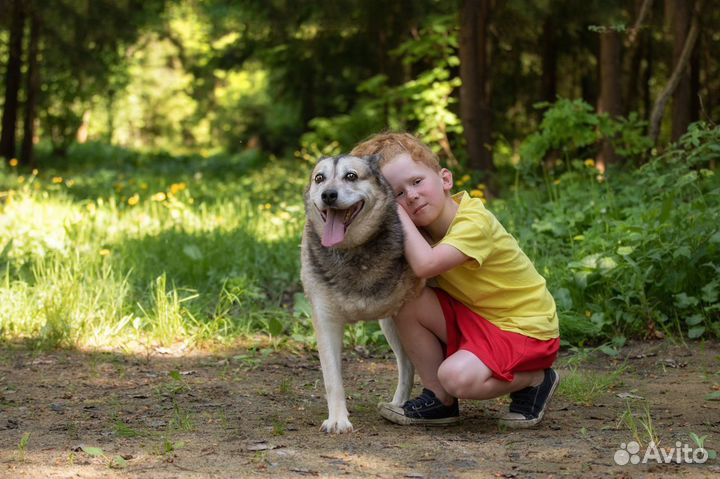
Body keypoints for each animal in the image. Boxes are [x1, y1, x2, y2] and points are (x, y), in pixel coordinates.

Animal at [300, 155, 422, 436]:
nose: (328, 195)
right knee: (407, 365)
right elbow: (332, 379)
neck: (351, 251)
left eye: (351, 176)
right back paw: (397, 405)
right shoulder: (325, 320)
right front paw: (337, 420)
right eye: (319, 178)